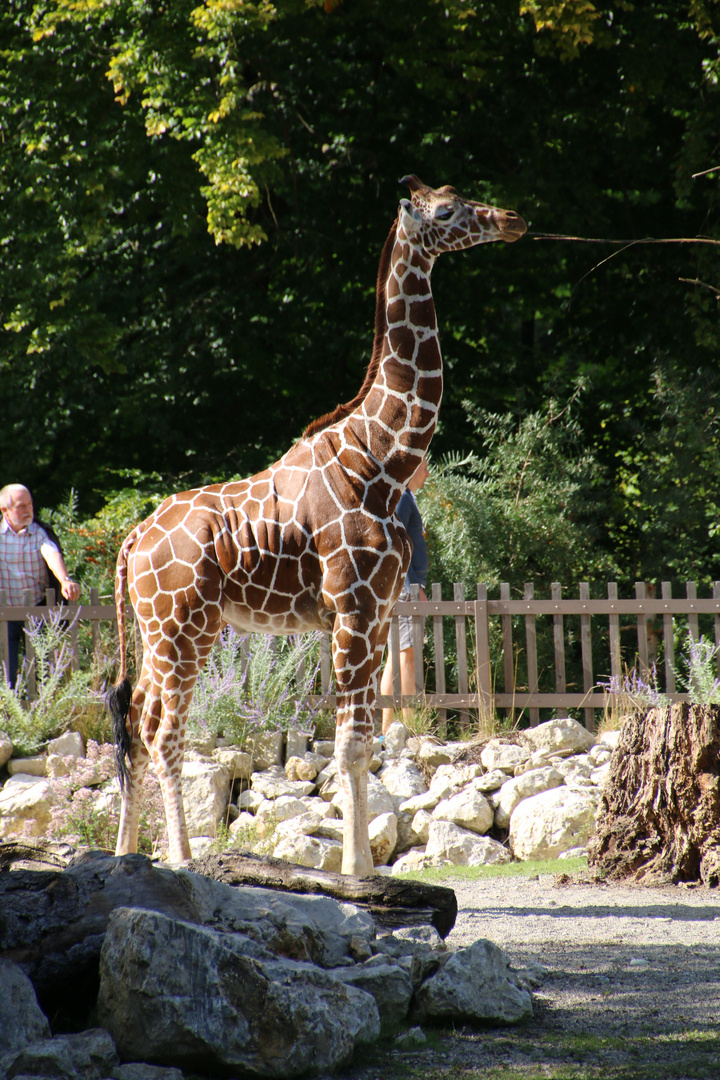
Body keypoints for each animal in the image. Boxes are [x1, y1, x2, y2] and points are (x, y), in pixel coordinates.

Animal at [108, 172, 524, 872]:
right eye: (446, 210)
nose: (513, 219)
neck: (382, 457)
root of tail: (133, 540)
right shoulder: (352, 608)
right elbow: (350, 743)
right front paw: (356, 869)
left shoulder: (379, 613)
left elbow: (365, 739)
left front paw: (363, 864)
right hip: (183, 629)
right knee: (164, 733)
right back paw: (183, 860)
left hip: (155, 630)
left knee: (136, 724)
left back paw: (124, 856)